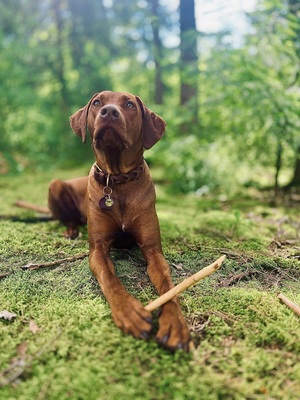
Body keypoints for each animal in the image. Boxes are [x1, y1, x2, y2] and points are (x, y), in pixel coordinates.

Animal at [50, 90, 190, 350]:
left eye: (129, 105)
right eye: (97, 103)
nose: (109, 112)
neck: (117, 180)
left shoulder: (153, 251)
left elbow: (168, 286)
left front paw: (174, 322)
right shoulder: (98, 249)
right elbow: (110, 279)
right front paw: (129, 311)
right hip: (55, 185)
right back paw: (71, 230)